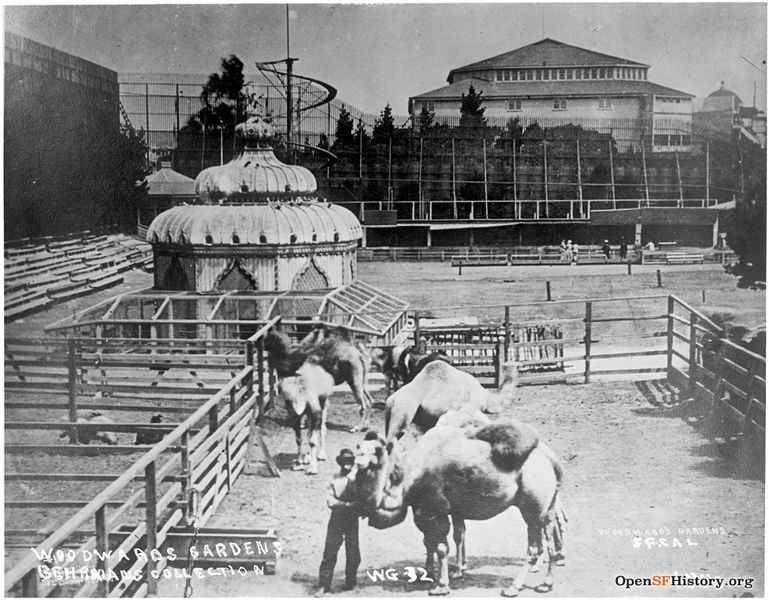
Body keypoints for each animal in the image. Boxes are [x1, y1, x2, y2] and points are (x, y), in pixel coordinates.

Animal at [352, 420, 564, 596]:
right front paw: (430, 573)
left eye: (376, 451)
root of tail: (549, 457)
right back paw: (546, 584)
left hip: (532, 506)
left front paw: (441, 586)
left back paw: (513, 587)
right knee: (551, 540)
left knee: (534, 547)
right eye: (359, 448)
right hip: (547, 507)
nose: (359, 462)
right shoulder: (431, 510)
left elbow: (440, 547)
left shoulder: (434, 509)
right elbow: (432, 541)